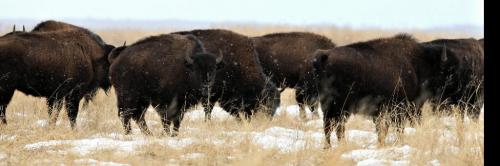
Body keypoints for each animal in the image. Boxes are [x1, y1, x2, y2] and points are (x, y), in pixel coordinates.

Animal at [312, 33, 454, 147]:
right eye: (442, 72)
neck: (416, 64)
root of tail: (324, 55)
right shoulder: (401, 108)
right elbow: (396, 128)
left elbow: (383, 129)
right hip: (338, 107)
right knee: (332, 126)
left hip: (335, 108)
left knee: (333, 126)